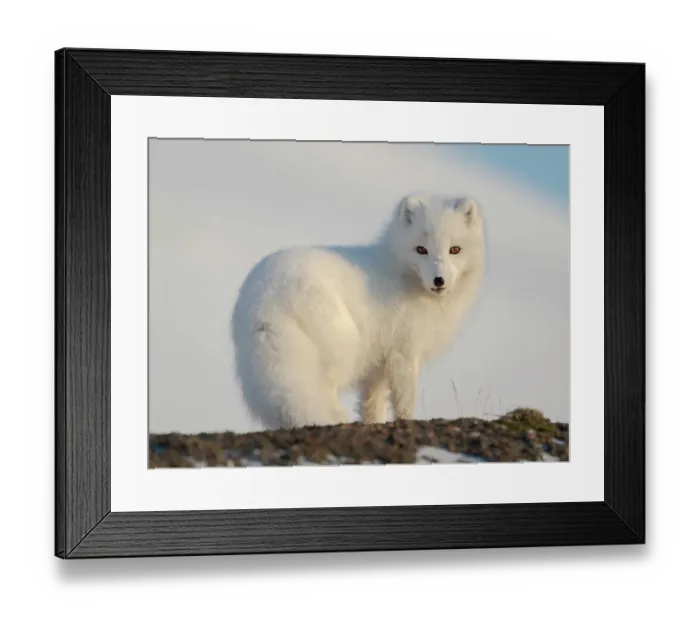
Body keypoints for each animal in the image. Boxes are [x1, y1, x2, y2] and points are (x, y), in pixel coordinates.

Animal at [231, 192, 486, 430]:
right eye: (421, 250)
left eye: (455, 250)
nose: (439, 280)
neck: (402, 274)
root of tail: (266, 299)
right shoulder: (403, 352)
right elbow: (404, 401)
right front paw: (405, 422)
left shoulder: (377, 365)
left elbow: (372, 404)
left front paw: (373, 424)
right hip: (344, 349)